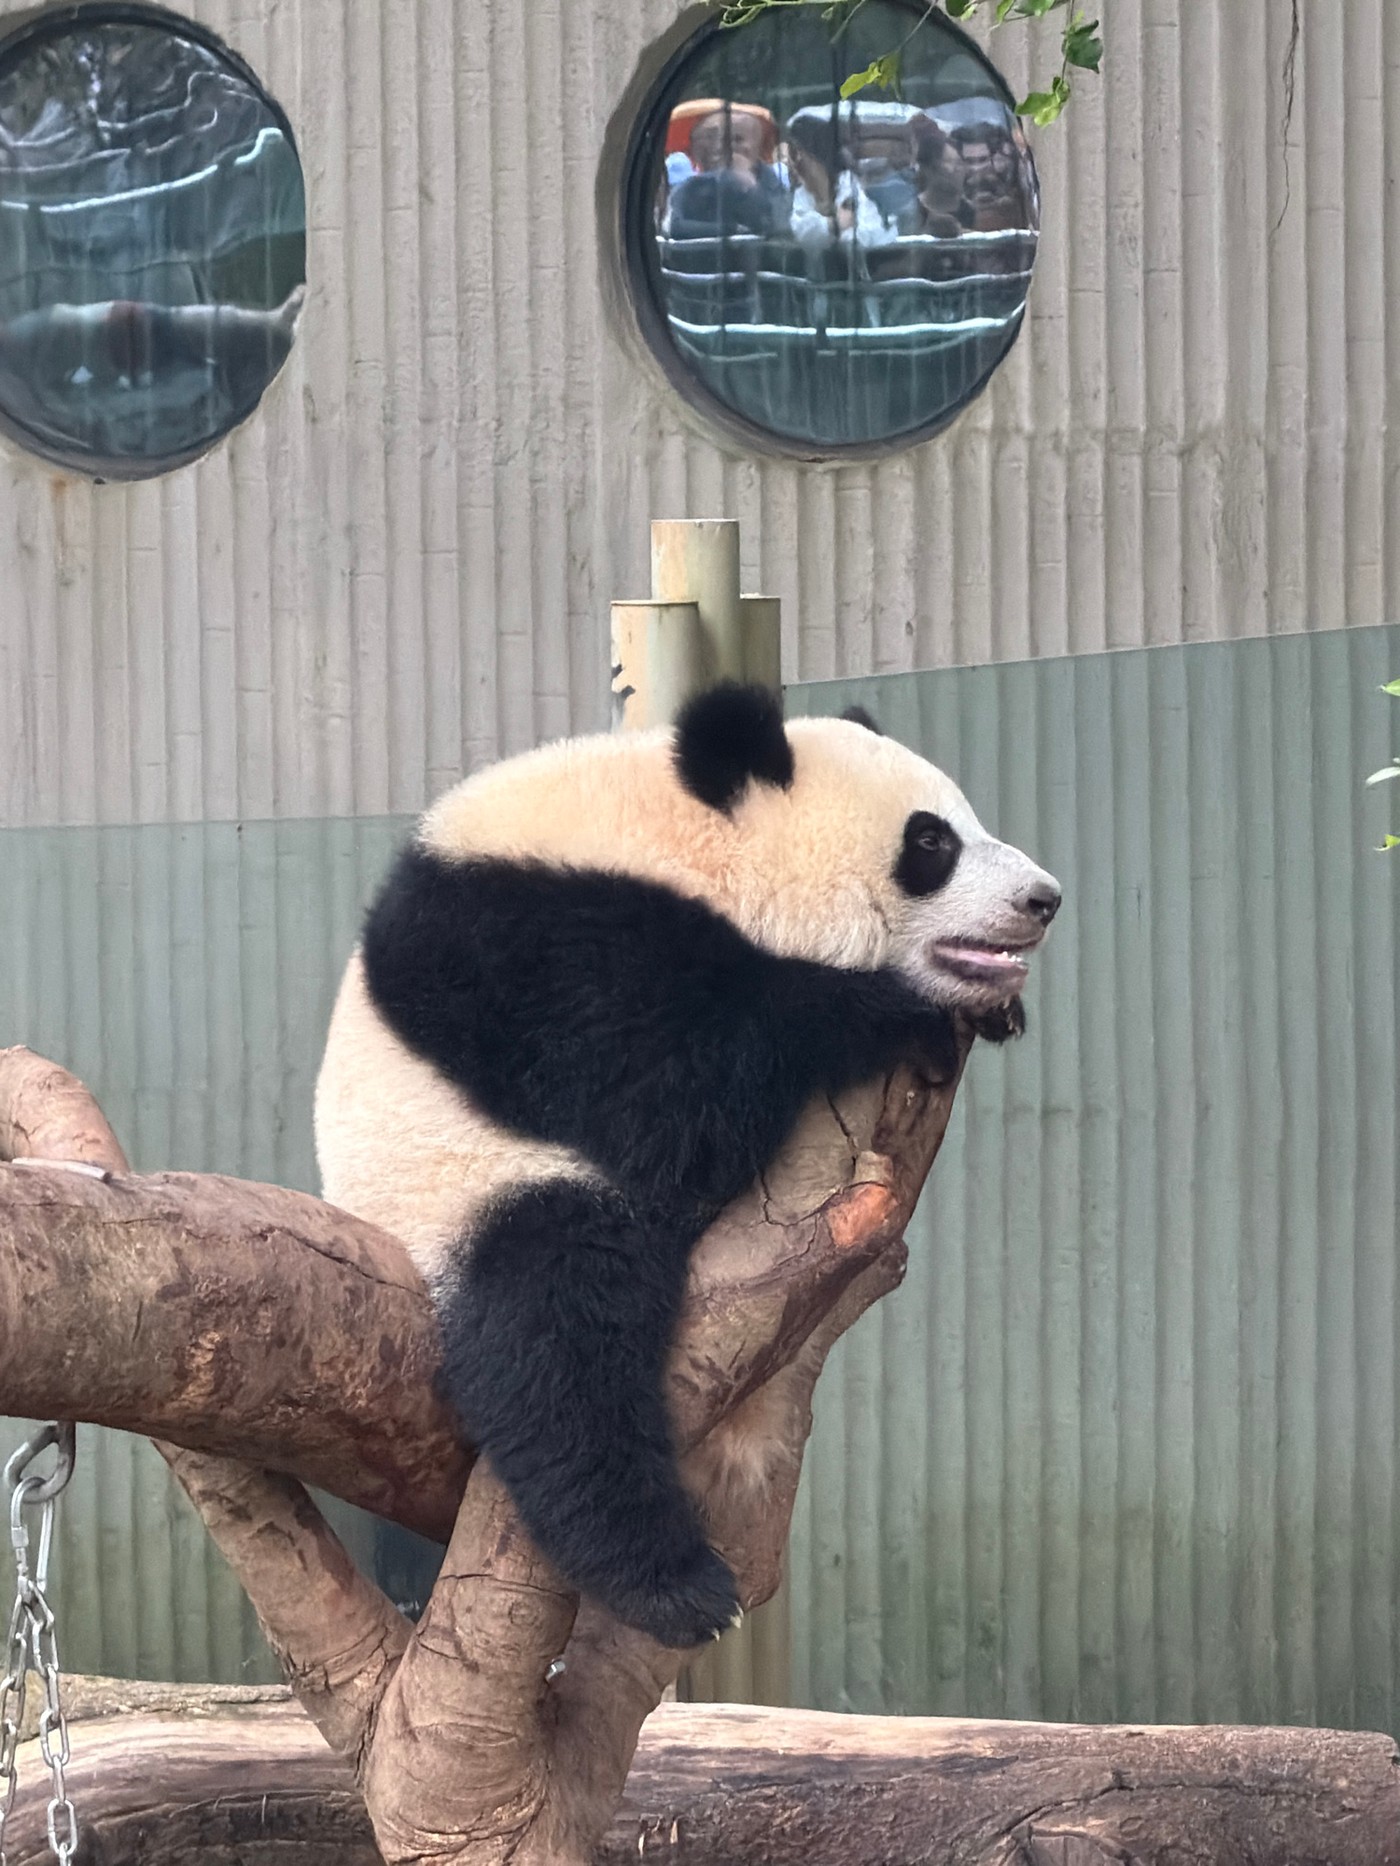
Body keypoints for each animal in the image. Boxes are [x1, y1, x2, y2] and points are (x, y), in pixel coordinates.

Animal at [315, 684, 1059, 1649]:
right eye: (931, 842)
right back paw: (671, 1584)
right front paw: (901, 1012)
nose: (1044, 898)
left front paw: (998, 1011)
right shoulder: (532, 953)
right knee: (559, 1342)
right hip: (462, 1190)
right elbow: (668, 1100)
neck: (681, 837)